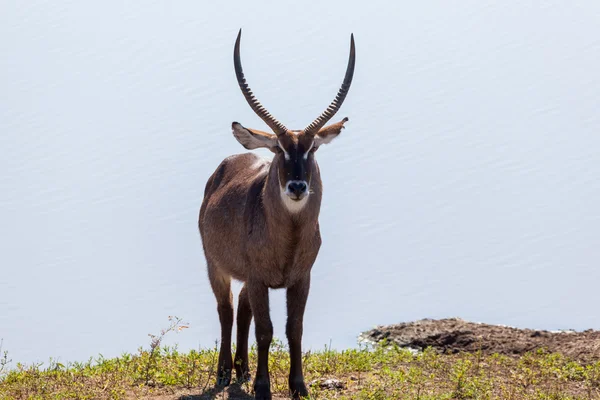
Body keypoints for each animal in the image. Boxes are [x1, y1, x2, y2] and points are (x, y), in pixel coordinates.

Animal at [199, 28, 354, 400]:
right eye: (280, 148)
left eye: (312, 148)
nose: (297, 186)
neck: (290, 239)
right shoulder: (258, 279)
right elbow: (266, 330)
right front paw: (263, 388)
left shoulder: (300, 279)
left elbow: (293, 328)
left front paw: (299, 386)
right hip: (216, 266)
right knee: (227, 309)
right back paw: (225, 372)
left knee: (241, 309)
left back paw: (241, 368)